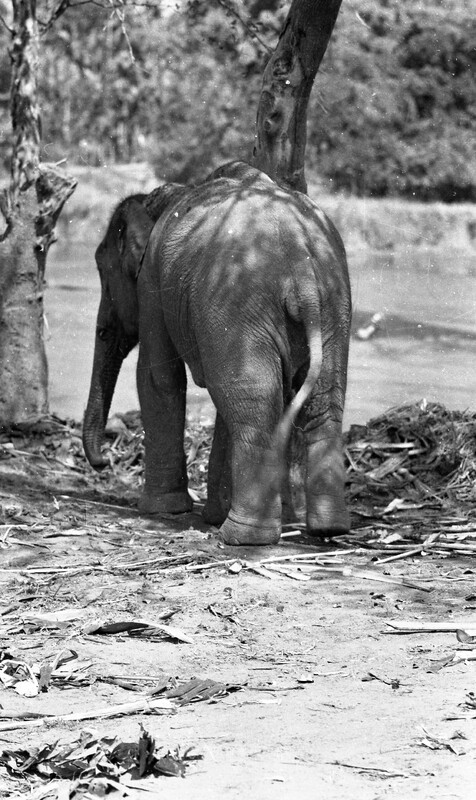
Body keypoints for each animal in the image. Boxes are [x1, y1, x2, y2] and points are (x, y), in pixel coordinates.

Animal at [83, 161, 352, 546]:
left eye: (103, 272)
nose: (103, 461)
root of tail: (301, 262)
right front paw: (210, 513)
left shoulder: (152, 282)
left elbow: (157, 376)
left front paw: (161, 510)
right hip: (331, 306)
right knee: (315, 401)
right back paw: (327, 528)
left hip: (243, 301)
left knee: (252, 404)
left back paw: (242, 536)